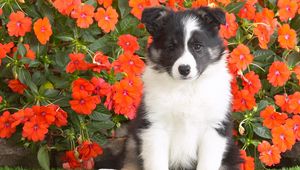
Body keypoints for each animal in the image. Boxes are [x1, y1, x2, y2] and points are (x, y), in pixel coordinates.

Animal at [122, 6, 244, 170]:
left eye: (197, 46)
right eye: (171, 47)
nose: (184, 69)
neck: (186, 88)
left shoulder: (214, 128)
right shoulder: (154, 127)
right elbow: (157, 162)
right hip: (131, 145)